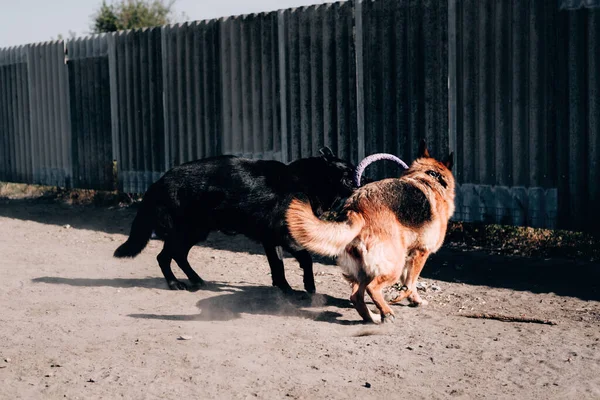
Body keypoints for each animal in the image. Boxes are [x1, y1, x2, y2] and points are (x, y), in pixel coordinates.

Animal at [112, 148, 356, 292]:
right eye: (348, 176)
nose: (363, 181)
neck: (301, 180)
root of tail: (158, 183)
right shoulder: (287, 236)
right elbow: (305, 258)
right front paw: (308, 286)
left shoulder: (271, 240)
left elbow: (277, 265)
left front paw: (283, 288)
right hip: (184, 231)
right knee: (164, 256)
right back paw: (174, 283)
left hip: (196, 231)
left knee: (178, 255)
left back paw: (195, 279)